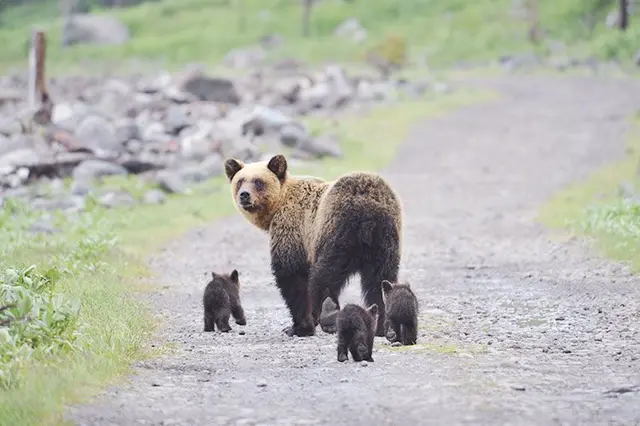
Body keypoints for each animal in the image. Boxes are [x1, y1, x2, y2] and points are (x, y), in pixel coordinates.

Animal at [224, 154, 402, 338]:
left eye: (258, 181)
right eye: (240, 180)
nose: (244, 195)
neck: (277, 206)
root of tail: (370, 214)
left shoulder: (293, 229)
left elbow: (292, 276)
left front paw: (298, 327)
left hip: (336, 232)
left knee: (324, 277)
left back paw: (329, 320)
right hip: (385, 244)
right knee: (380, 281)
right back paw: (381, 326)